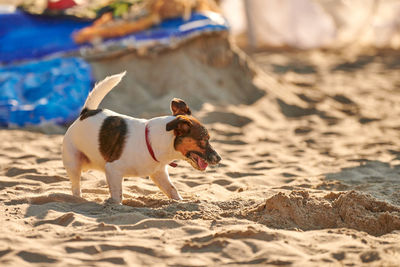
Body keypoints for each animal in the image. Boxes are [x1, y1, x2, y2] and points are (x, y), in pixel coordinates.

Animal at [61, 72, 222, 204]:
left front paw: (181, 202)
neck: (155, 143)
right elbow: (117, 197)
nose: (219, 158)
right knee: (76, 187)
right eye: (204, 140)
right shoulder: (113, 170)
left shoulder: (159, 174)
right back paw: (78, 199)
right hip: (73, 163)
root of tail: (86, 113)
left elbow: (173, 190)